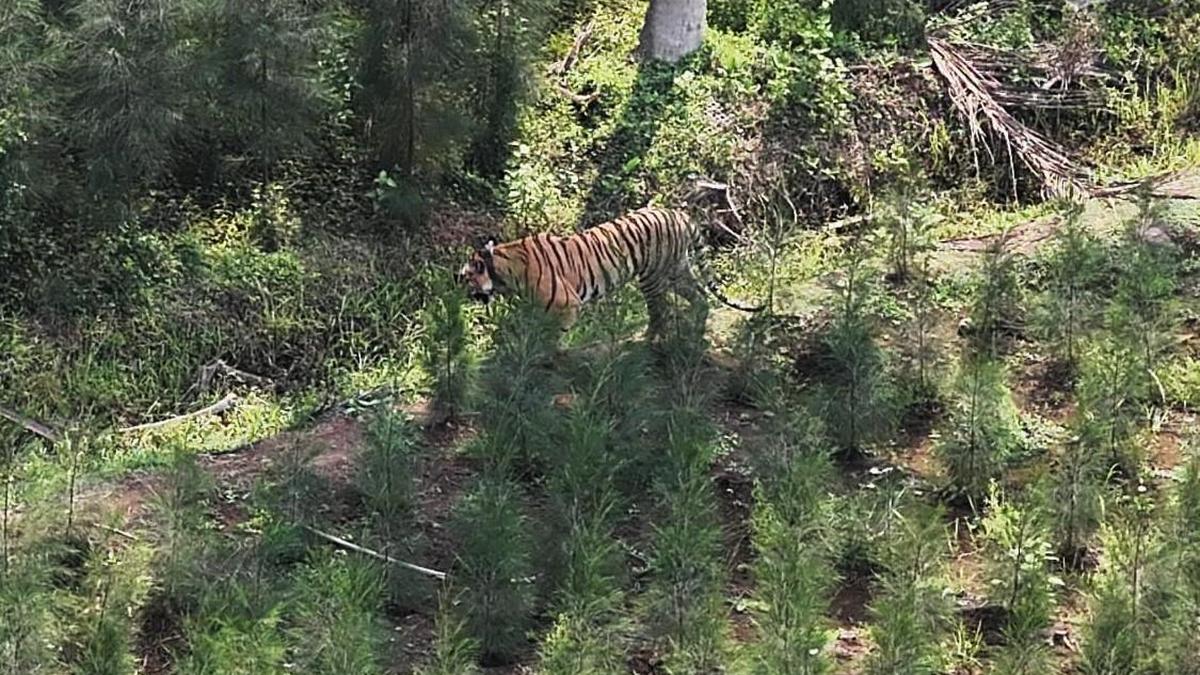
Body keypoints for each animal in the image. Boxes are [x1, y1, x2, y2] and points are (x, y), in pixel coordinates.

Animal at [458, 206, 762, 339]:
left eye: (466, 276)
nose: (460, 292)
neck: (505, 274)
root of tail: (679, 214)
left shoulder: (565, 304)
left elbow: (553, 336)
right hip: (677, 270)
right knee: (699, 295)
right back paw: (698, 326)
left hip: (653, 276)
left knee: (660, 310)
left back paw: (650, 339)